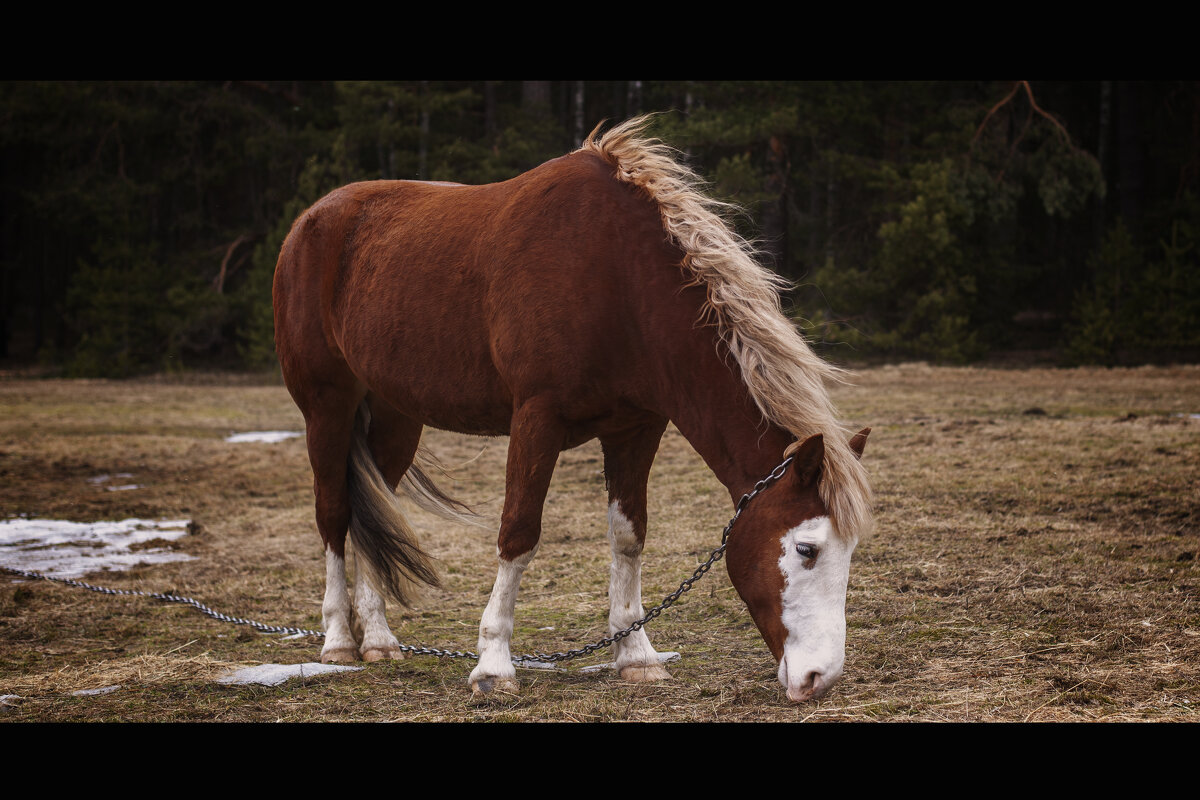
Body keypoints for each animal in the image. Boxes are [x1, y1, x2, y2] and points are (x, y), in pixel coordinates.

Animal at [272, 115, 873, 705]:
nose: (820, 679)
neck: (616, 277)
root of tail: (309, 221)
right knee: (334, 514)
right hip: (327, 408)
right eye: (806, 548)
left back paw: (378, 640)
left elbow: (629, 537)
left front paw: (636, 656)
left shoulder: (637, 429)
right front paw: (494, 665)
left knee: (376, 505)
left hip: (397, 418)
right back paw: (338, 642)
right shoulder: (536, 420)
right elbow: (518, 533)